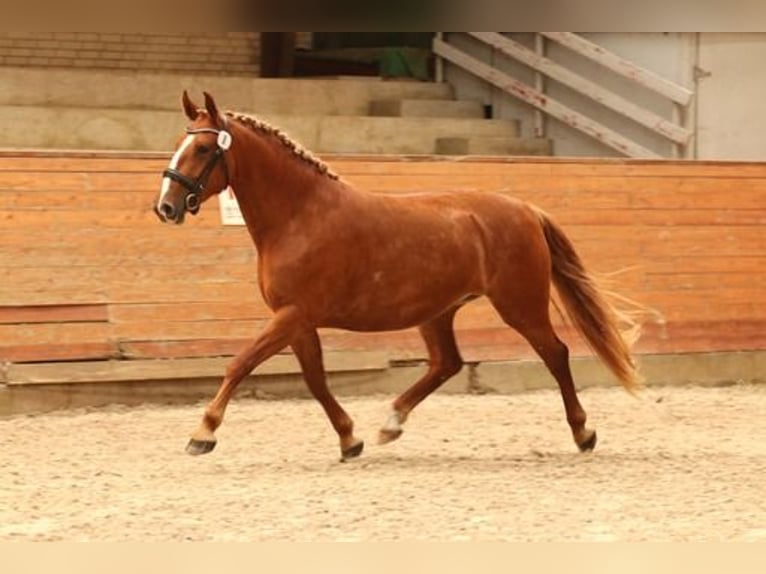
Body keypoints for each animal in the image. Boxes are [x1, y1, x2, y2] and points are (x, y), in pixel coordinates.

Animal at [153, 92, 640, 462]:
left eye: (202, 149)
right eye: (180, 143)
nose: (166, 207)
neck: (300, 216)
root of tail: (526, 209)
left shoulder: (292, 315)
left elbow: (240, 364)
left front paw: (202, 433)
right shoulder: (298, 321)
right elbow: (316, 381)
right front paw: (350, 440)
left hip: (520, 305)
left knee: (555, 354)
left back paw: (583, 433)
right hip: (438, 312)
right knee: (447, 364)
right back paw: (391, 423)